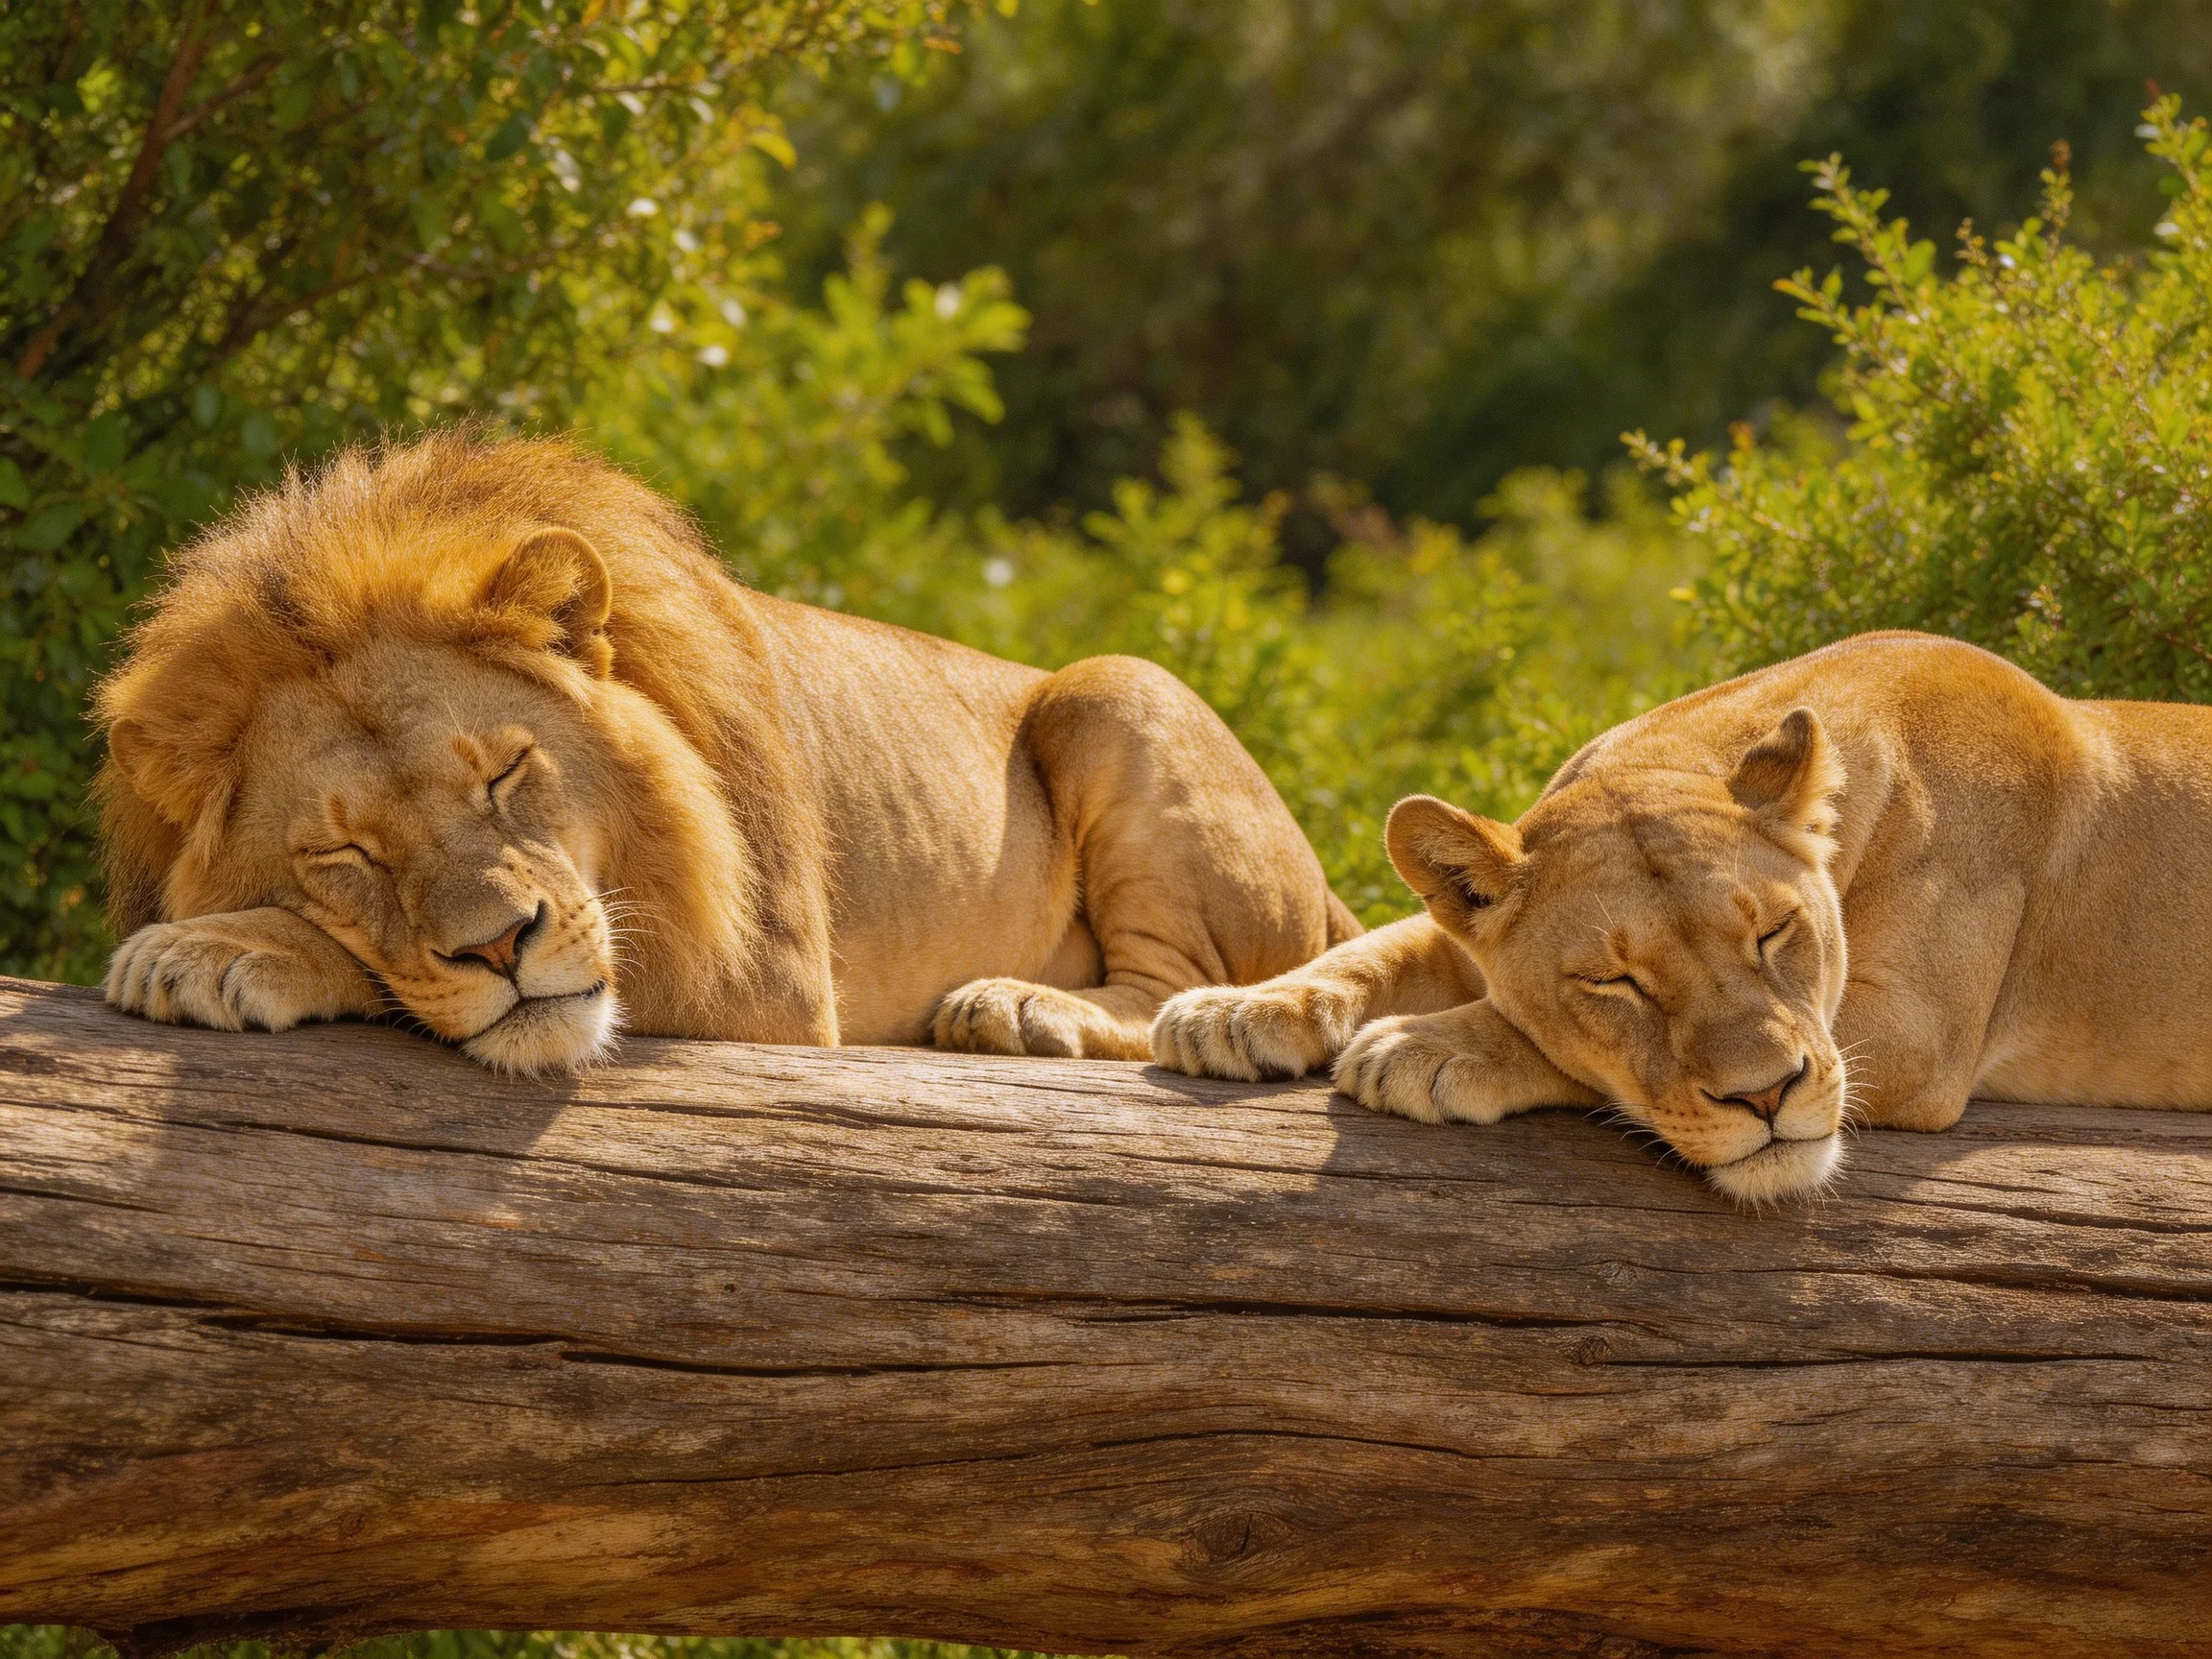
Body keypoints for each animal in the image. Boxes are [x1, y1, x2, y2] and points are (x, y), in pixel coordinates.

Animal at [97, 432, 1357, 1074]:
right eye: (346, 855)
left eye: (504, 775)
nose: (499, 945)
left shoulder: (767, 986)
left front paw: (215, 948)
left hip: (1119, 685)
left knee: (1186, 991)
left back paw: (1016, 1007)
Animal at [1154, 631, 2212, 1201]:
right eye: (1616, 981)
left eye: (1773, 933)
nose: (1769, 1097)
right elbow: (1384, 946)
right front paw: (1235, 1012)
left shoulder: (1919, 1036)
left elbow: (1553, 1047)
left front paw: (1430, 1046)